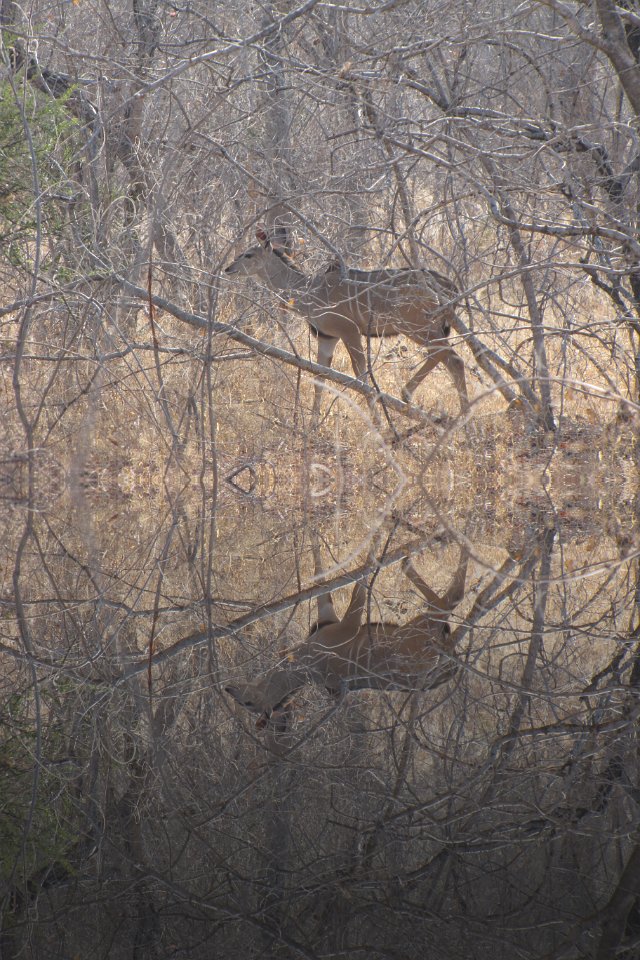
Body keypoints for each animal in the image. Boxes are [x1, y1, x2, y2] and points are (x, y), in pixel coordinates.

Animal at [224, 230, 469, 419]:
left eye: (248, 254)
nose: (228, 269)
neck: (310, 291)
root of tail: (451, 287)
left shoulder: (349, 331)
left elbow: (361, 376)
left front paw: (379, 426)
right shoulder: (327, 337)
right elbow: (320, 377)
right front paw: (313, 426)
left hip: (416, 326)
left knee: (449, 355)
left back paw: (407, 395)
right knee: (451, 359)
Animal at [225, 546, 468, 735]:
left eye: (246, 702)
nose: (229, 689)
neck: (306, 666)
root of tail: (449, 665)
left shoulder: (330, 619)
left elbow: (321, 574)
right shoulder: (347, 625)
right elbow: (358, 584)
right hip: (418, 627)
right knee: (450, 599)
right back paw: (414, 557)